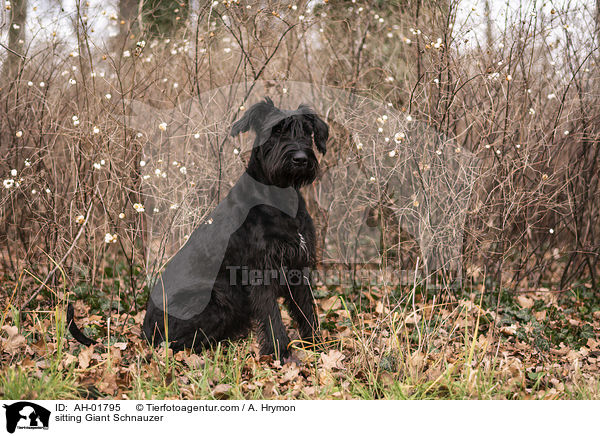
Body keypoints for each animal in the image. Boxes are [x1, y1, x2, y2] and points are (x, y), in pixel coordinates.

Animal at [141, 97, 328, 360]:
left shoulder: (298, 266)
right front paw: (280, 352)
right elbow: (272, 316)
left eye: (307, 132)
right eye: (276, 130)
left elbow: (306, 310)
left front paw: (316, 346)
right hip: (214, 301)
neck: (280, 198)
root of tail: (145, 330)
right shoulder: (261, 269)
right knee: (177, 344)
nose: (300, 158)